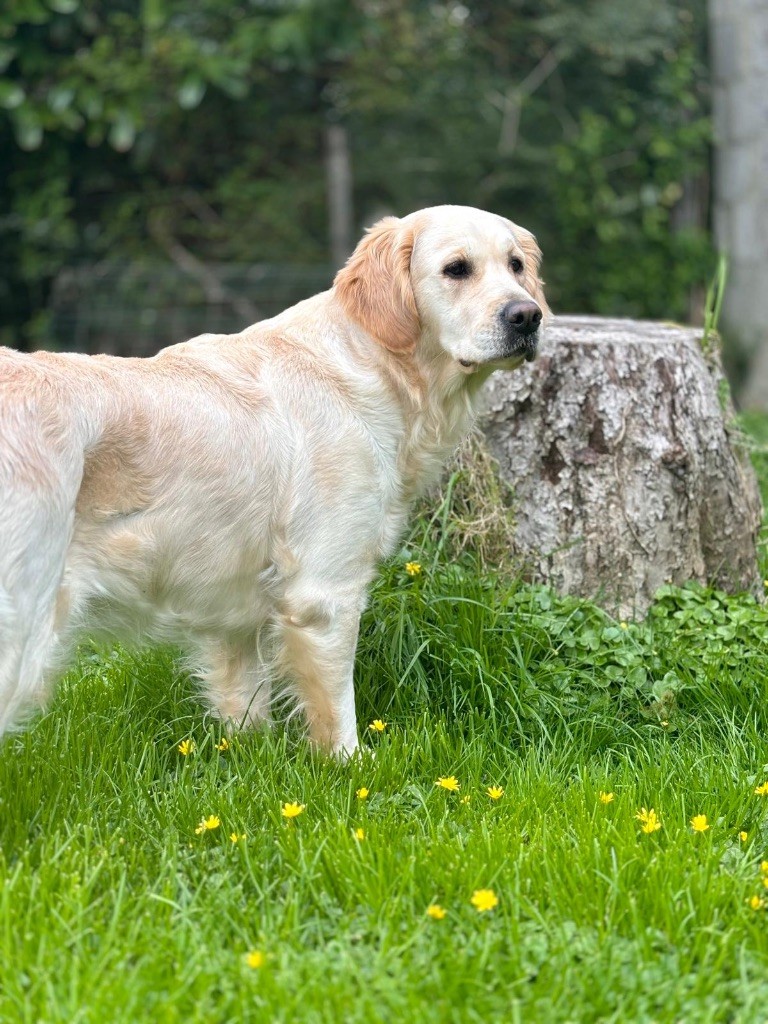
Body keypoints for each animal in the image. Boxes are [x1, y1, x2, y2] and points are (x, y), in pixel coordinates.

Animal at [0, 205, 547, 755]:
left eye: (516, 265)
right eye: (457, 269)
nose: (527, 316)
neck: (377, 363)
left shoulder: (236, 608)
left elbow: (245, 704)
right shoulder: (325, 591)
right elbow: (337, 709)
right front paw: (352, 761)